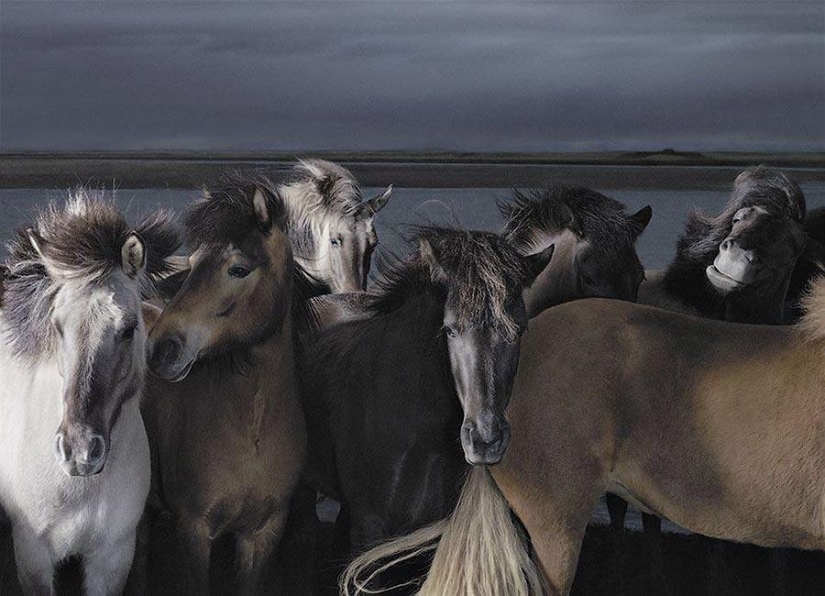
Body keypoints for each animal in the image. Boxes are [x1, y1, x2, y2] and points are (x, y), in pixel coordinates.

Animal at [0, 190, 178, 595]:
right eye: (57, 325)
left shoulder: (112, 559)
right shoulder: (32, 556)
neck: (77, 487)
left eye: (129, 328)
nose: (79, 451)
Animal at [142, 180, 313, 594]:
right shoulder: (194, 530)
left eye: (238, 269)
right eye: (191, 264)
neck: (253, 429)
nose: (161, 349)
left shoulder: (263, 534)